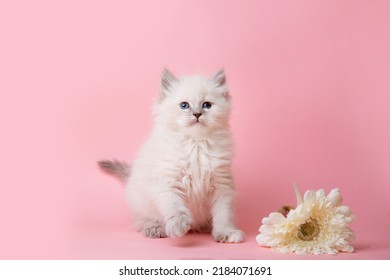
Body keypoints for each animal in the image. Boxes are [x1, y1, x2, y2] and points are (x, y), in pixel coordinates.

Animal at [98, 68, 244, 243]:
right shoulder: (168, 182)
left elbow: (223, 214)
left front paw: (226, 232)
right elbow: (174, 206)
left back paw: (206, 227)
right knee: (141, 221)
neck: (196, 144)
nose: (197, 114)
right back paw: (155, 229)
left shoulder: (222, 185)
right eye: (184, 105)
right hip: (141, 202)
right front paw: (179, 226)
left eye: (207, 105)